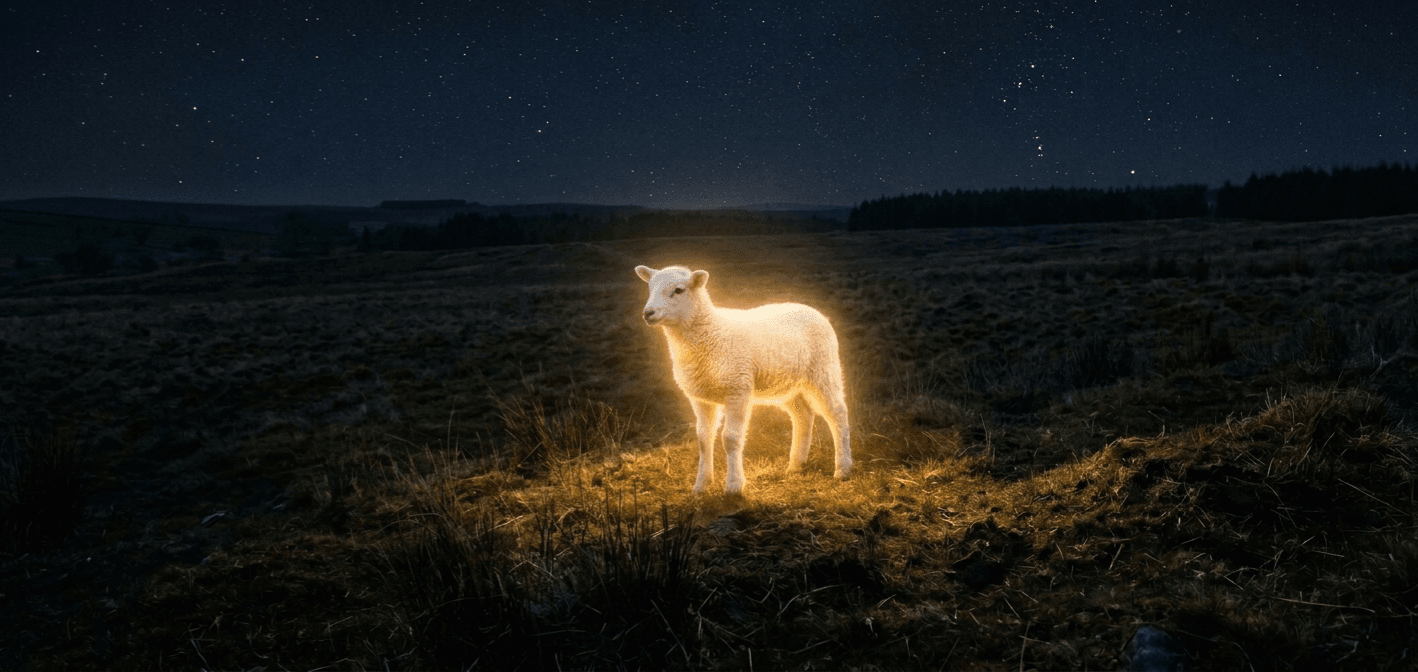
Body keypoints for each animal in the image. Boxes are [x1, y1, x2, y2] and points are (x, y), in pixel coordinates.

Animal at [635, 264, 852, 494]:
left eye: (679, 290)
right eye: (649, 287)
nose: (648, 313)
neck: (710, 331)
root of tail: (813, 310)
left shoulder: (737, 389)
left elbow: (730, 439)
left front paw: (733, 486)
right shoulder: (700, 397)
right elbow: (703, 439)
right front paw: (701, 485)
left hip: (823, 369)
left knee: (838, 413)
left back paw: (843, 469)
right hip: (787, 383)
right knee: (803, 414)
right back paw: (796, 465)